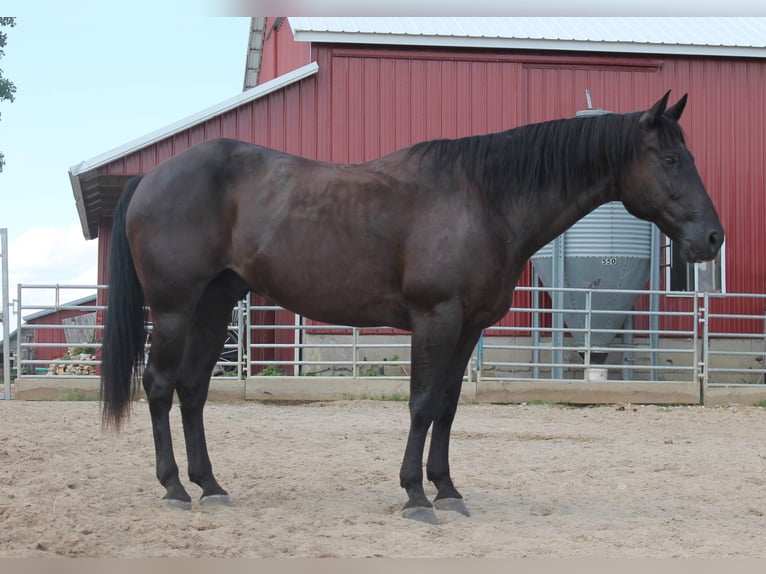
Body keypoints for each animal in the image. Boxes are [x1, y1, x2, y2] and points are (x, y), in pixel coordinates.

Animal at [100, 91, 728, 528]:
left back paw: (211, 486)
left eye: (692, 156)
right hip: (176, 309)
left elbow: (447, 407)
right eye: (670, 158)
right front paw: (415, 496)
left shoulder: (468, 327)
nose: (713, 238)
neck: (483, 199)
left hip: (215, 306)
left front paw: (447, 490)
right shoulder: (436, 318)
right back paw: (175, 488)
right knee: (159, 385)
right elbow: (423, 403)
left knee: (193, 389)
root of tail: (150, 177)